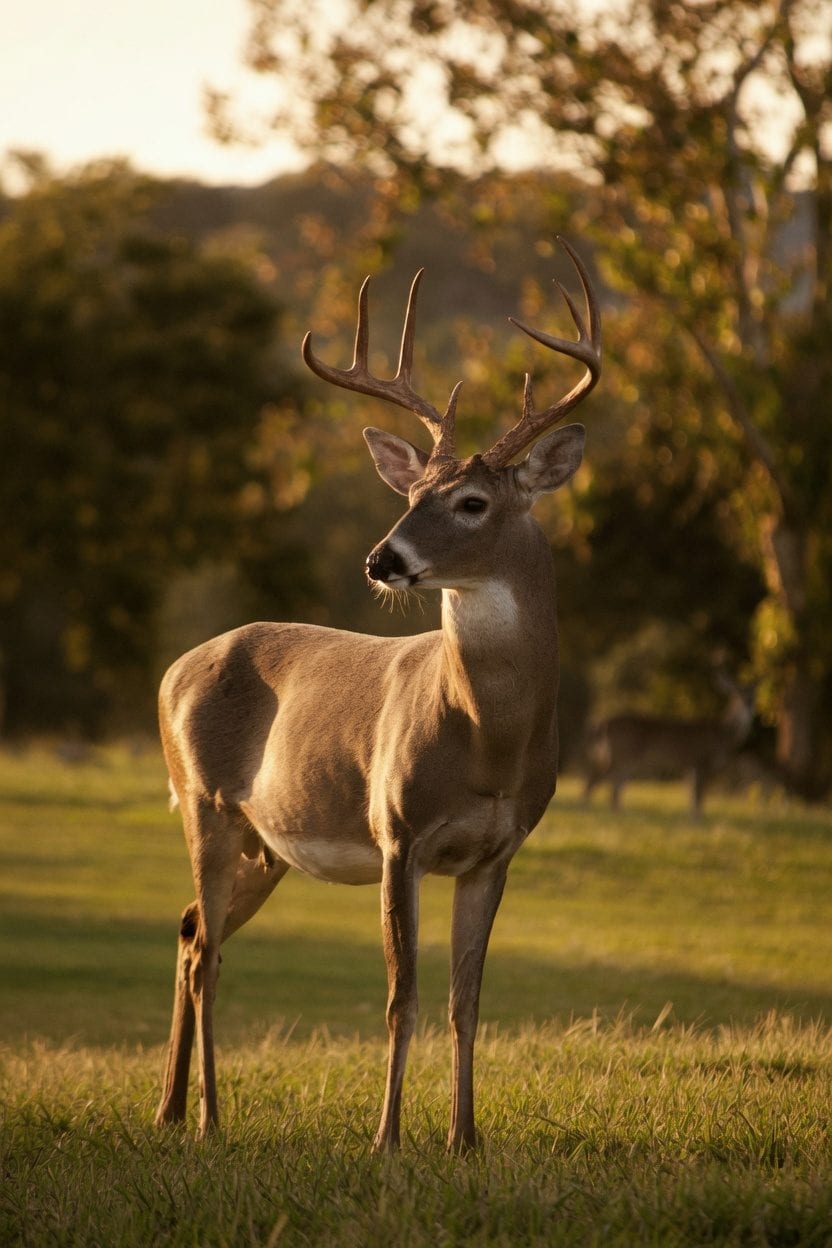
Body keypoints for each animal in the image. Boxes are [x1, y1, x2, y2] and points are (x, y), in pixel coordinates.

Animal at [153, 238, 601, 1153]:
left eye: (471, 501)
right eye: (410, 495)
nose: (381, 559)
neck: (488, 740)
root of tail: (174, 668)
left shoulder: (496, 851)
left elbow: (468, 1002)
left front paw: (467, 1140)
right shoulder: (398, 834)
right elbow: (403, 999)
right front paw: (387, 1139)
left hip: (263, 846)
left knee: (186, 932)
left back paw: (171, 1109)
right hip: (204, 805)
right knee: (209, 954)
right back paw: (210, 1117)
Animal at [583, 673, 756, 817]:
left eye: (753, 694)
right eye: (737, 694)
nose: (748, 703)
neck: (724, 734)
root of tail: (602, 724)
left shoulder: (690, 766)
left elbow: (692, 795)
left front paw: (692, 819)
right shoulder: (700, 761)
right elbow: (698, 796)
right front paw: (698, 820)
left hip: (622, 758)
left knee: (614, 786)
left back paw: (618, 813)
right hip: (621, 754)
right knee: (597, 779)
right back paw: (590, 808)